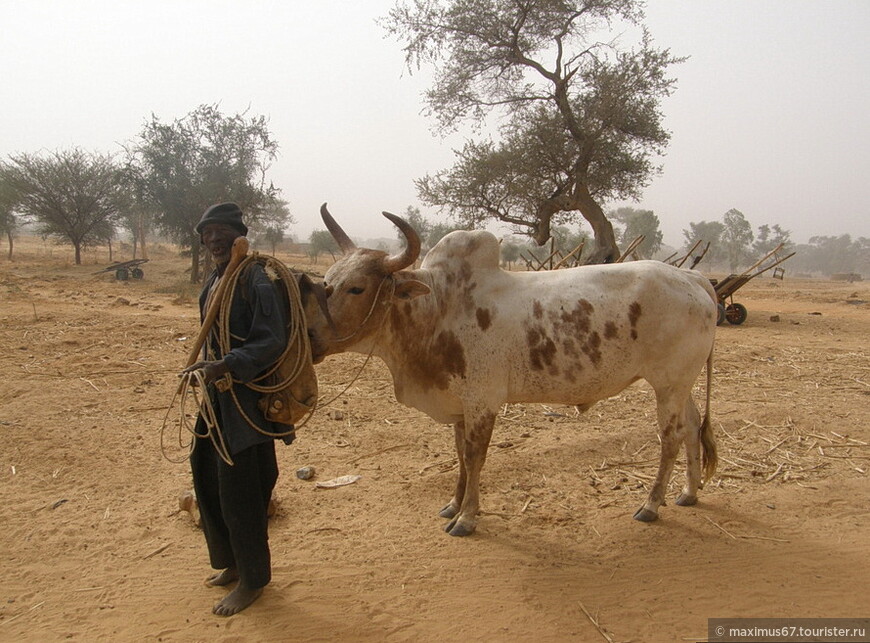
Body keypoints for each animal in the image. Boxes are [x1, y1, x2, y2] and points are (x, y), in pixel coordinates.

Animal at [310, 206, 720, 540]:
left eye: (357, 288)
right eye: (326, 282)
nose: (311, 338)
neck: (439, 308)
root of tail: (693, 279)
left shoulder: (483, 402)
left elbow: (474, 457)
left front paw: (467, 518)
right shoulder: (460, 405)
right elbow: (460, 455)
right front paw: (453, 504)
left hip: (668, 384)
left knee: (670, 437)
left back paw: (651, 505)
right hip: (680, 384)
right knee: (691, 425)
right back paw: (689, 492)